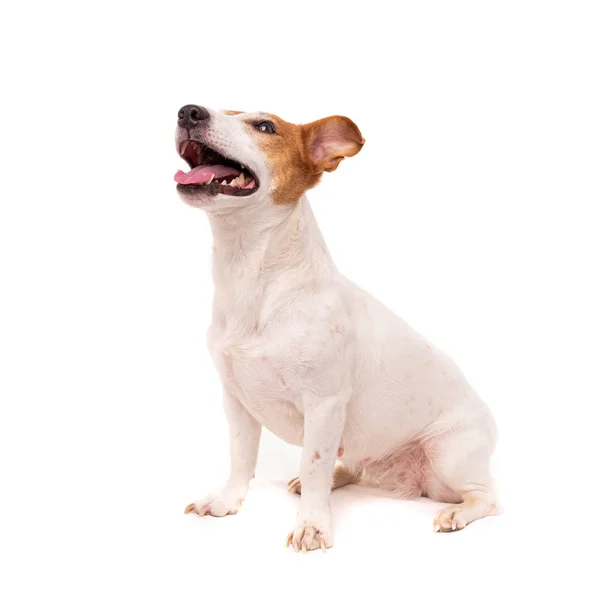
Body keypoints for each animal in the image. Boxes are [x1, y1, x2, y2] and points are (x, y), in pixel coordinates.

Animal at [175, 104, 502, 552]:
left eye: (265, 126)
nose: (188, 111)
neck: (252, 279)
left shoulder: (324, 404)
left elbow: (313, 465)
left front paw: (312, 526)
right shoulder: (236, 401)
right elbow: (241, 458)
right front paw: (226, 502)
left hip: (448, 456)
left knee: (487, 498)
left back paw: (457, 513)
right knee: (350, 465)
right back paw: (337, 475)